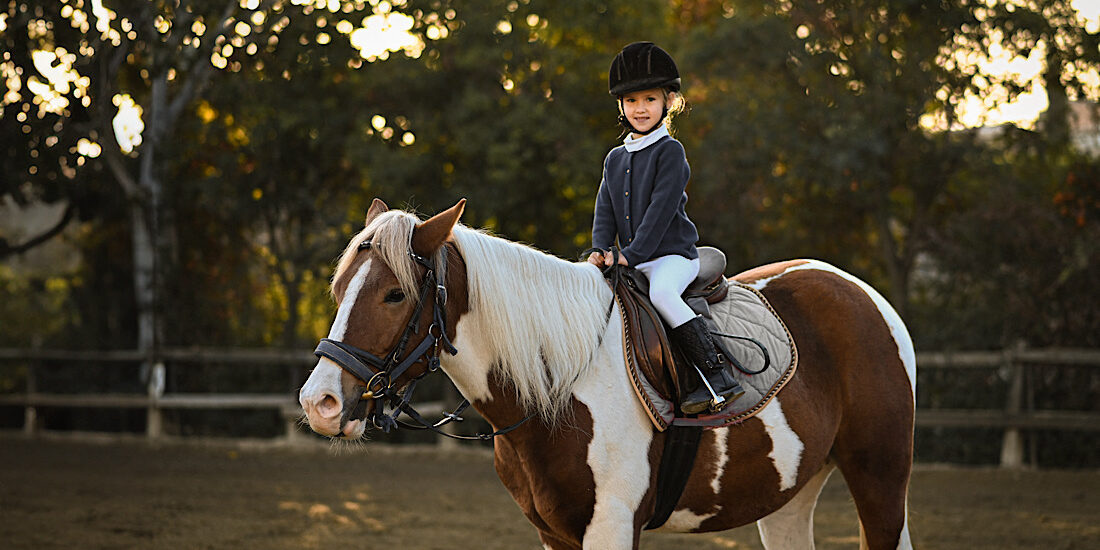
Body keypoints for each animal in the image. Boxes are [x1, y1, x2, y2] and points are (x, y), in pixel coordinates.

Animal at [299, 199, 917, 550]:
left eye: (394, 294)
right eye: (339, 288)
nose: (319, 402)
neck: (558, 389)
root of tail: (853, 287)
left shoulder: (612, 526)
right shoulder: (555, 533)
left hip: (880, 477)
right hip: (790, 497)